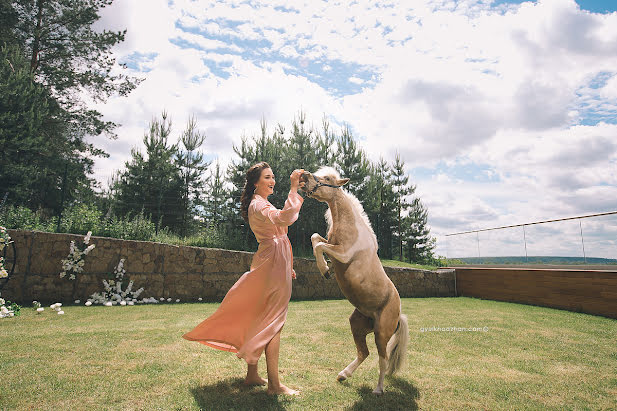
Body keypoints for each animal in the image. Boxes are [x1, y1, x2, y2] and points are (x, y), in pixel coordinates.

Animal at [300, 167, 410, 396]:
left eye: (327, 178)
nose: (304, 176)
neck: (350, 227)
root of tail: (398, 316)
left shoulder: (343, 254)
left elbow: (319, 246)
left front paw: (325, 271)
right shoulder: (329, 242)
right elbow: (315, 239)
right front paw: (325, 269)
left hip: (381, 334)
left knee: (382, 360)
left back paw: (378, 389)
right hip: (357, 324)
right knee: (364, 353)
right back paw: (343, 375)